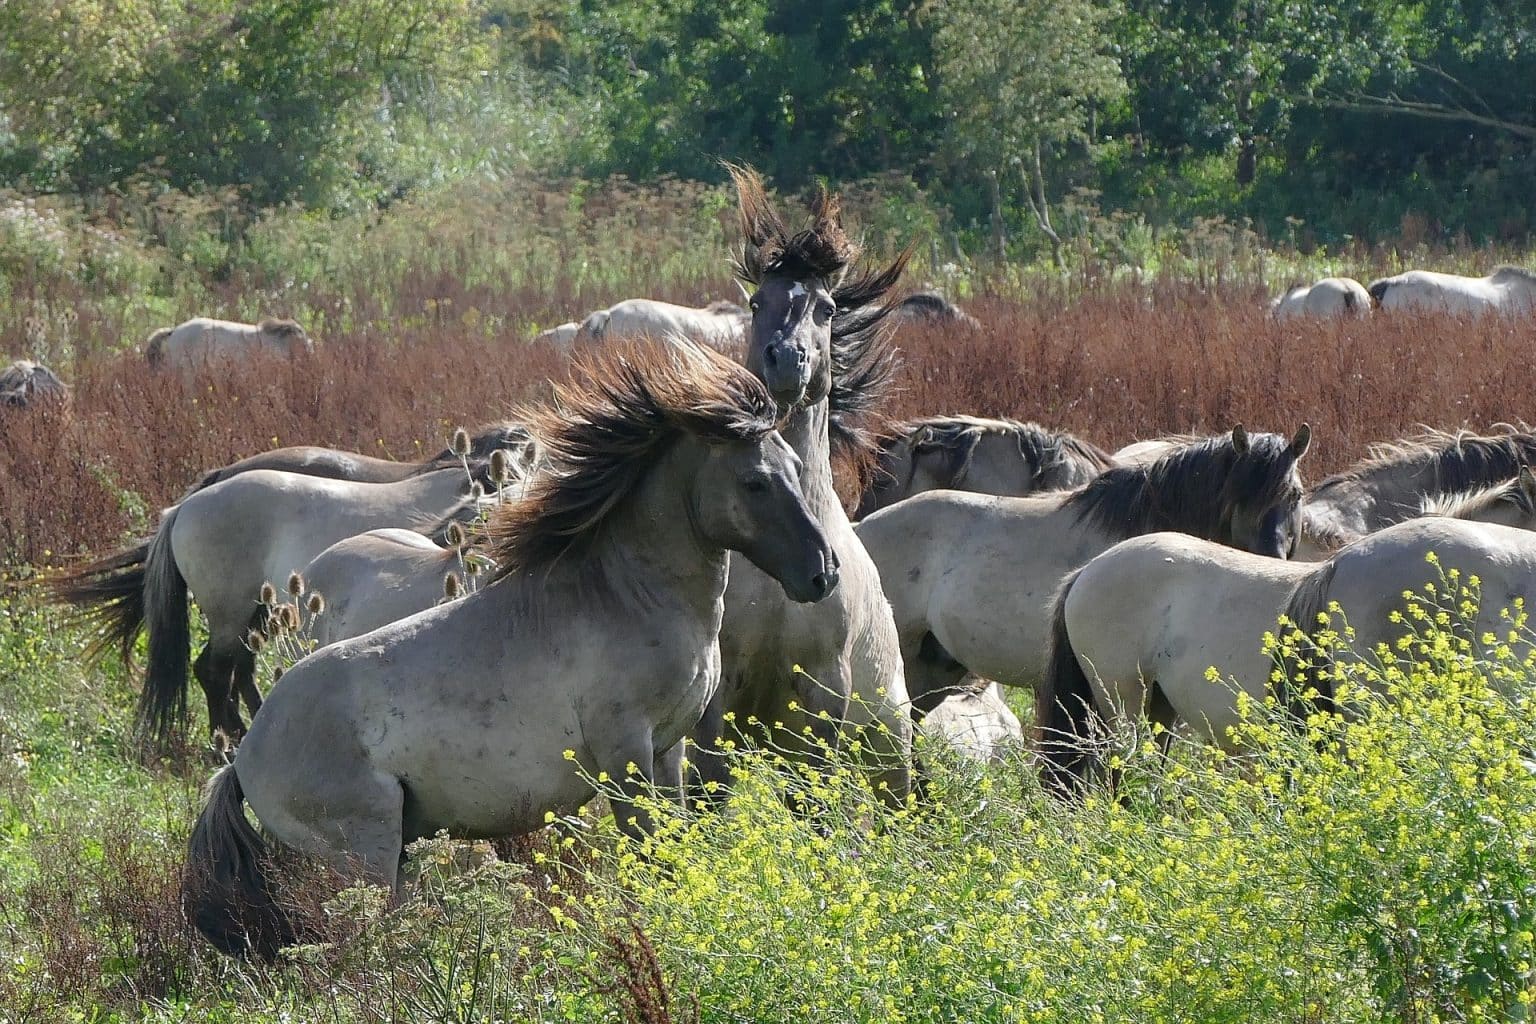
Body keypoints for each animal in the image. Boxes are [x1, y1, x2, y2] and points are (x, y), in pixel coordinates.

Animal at [50, 467, 480, 748]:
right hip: (231, 613)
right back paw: (230, 743)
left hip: (255, 614)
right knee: (217, 670)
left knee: (233, 670)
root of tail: (181, 509)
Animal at [182, 339, 837, 960]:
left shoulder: (667, 749)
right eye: (754, 482)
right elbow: (645, 852)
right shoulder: (625, 753)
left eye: (795, 465)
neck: (626, 597)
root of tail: (243, 757)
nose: (823, 573)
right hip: (365, 854)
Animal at [686, 165, 915, 806]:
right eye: (756, 300)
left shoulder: (821, 697)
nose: (787, 360)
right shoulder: (721, 700)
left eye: (828, 308)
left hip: (891, 759)